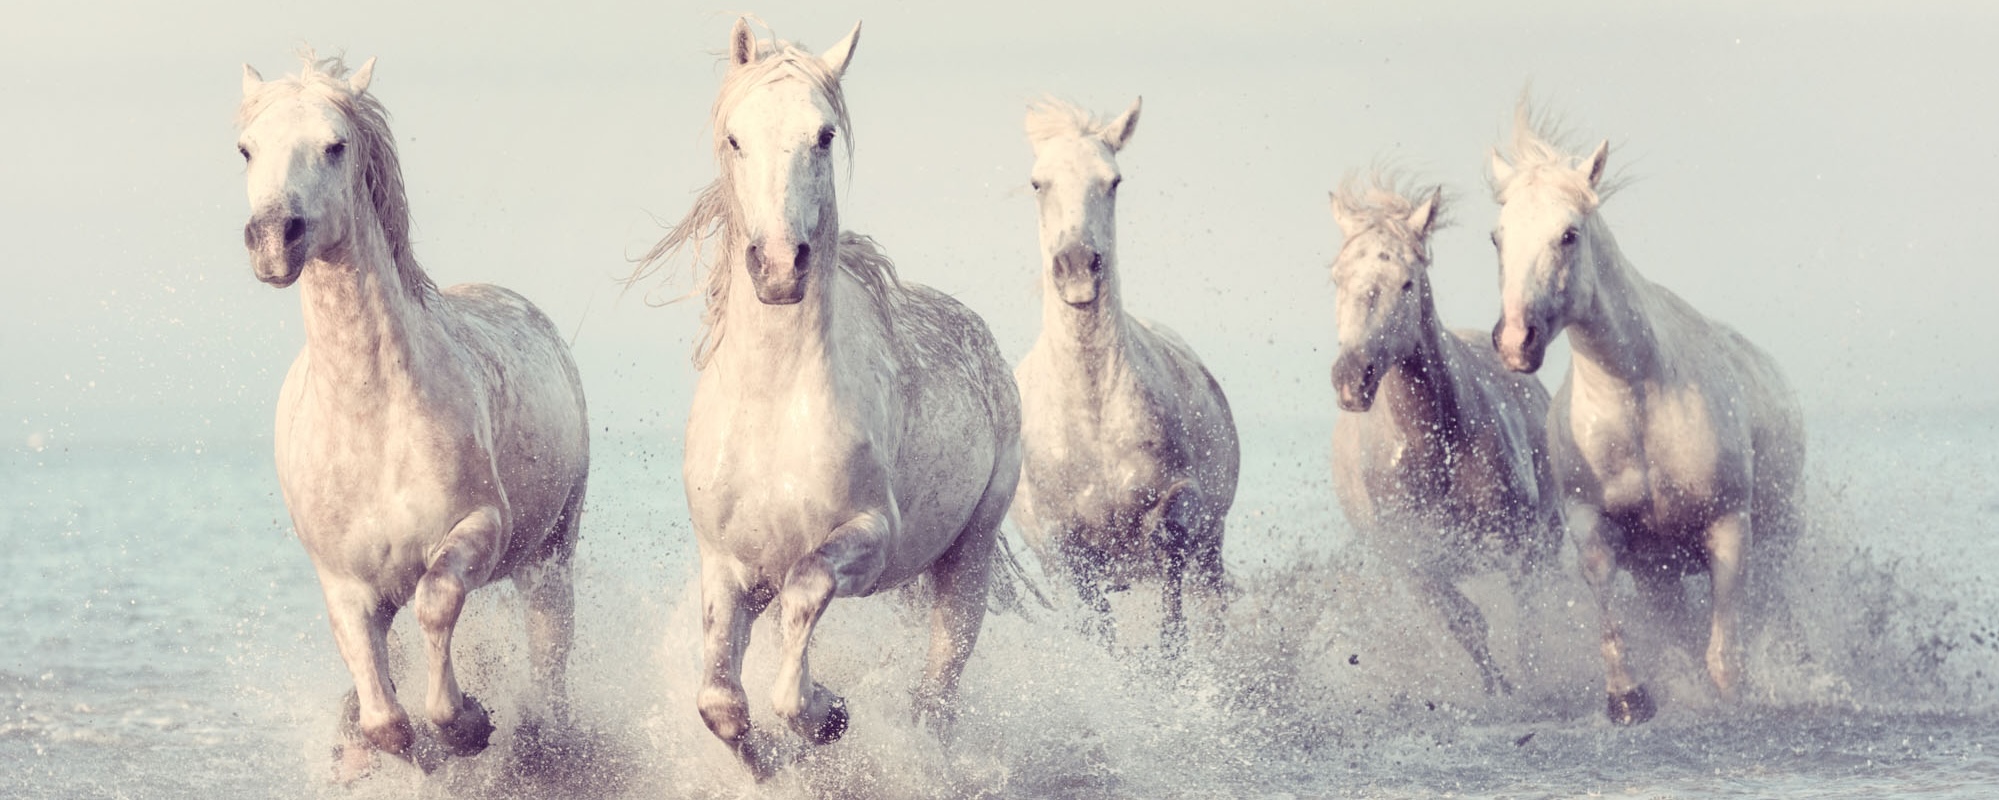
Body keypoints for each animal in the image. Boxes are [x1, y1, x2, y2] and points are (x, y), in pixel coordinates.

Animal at [236, 53, 589, 777]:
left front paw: (466, 724)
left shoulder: (479, 528)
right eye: (246, 148)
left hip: (549, 557)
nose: (273, 240)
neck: (372, 418)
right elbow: (383, 718)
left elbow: (437, 604)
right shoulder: (345, 583)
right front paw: (412, 747)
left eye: (335, 145)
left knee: (549, 659)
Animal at [633, 19, 1021, 780]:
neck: (774, 404)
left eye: (823, 135)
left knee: (935, 698)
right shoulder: (728, 566)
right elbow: (720, 700)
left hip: (968, 558)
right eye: (734, 137)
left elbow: (806, 592)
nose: (781, 267)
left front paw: (827, 716)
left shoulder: (868, 535)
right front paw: (771, 767)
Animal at [1010, 98, 1240, 656]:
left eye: (1112, 180)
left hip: (1211, 546)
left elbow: (1172, 629)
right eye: (1037, 183)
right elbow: (1105, 641)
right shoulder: (1066, 552)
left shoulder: (1179, 511)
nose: (1076, 267)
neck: (1092, 417)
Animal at [1327, 174, 1564, 696]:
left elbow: (1531, 621)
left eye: (1407, 281)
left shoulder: (1523, 543)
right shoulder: (1417, 565)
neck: (1434, 448)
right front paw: (1501, 692)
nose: (1352, 377)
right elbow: (1467, 623)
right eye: (1336, 277)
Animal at [1487, 103, 1806, 724]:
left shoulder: (1729, 528)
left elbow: (1724, 655)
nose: (1515, 341)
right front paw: (1629, 698)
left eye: (1568, 234)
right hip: (1665, 577)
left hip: (1783, 533)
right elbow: (1607, 607)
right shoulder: (1597, 528)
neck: (1636, 403)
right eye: (1497, 237)